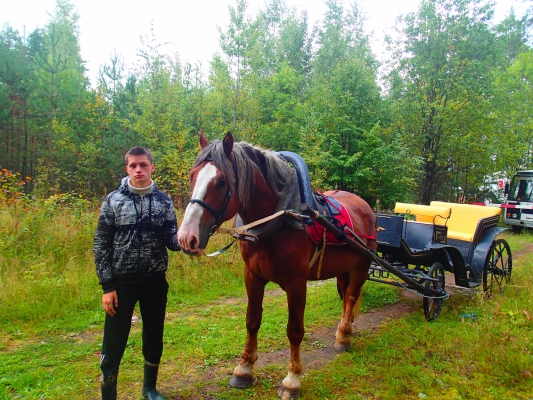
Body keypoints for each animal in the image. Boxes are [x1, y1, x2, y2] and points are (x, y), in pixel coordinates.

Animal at [179, 132, 378, 400]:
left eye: (221, 182)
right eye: (192, 176)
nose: (186, 238)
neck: (279, 220)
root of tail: (365, 206)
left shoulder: (296, 283)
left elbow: (294, 330)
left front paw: (292, 380)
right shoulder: (252, 276)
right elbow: (252, 320)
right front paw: (244, 369)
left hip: (363, 263)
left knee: (351, 296)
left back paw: (344, 337)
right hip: (342, 268)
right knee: (346, 294)